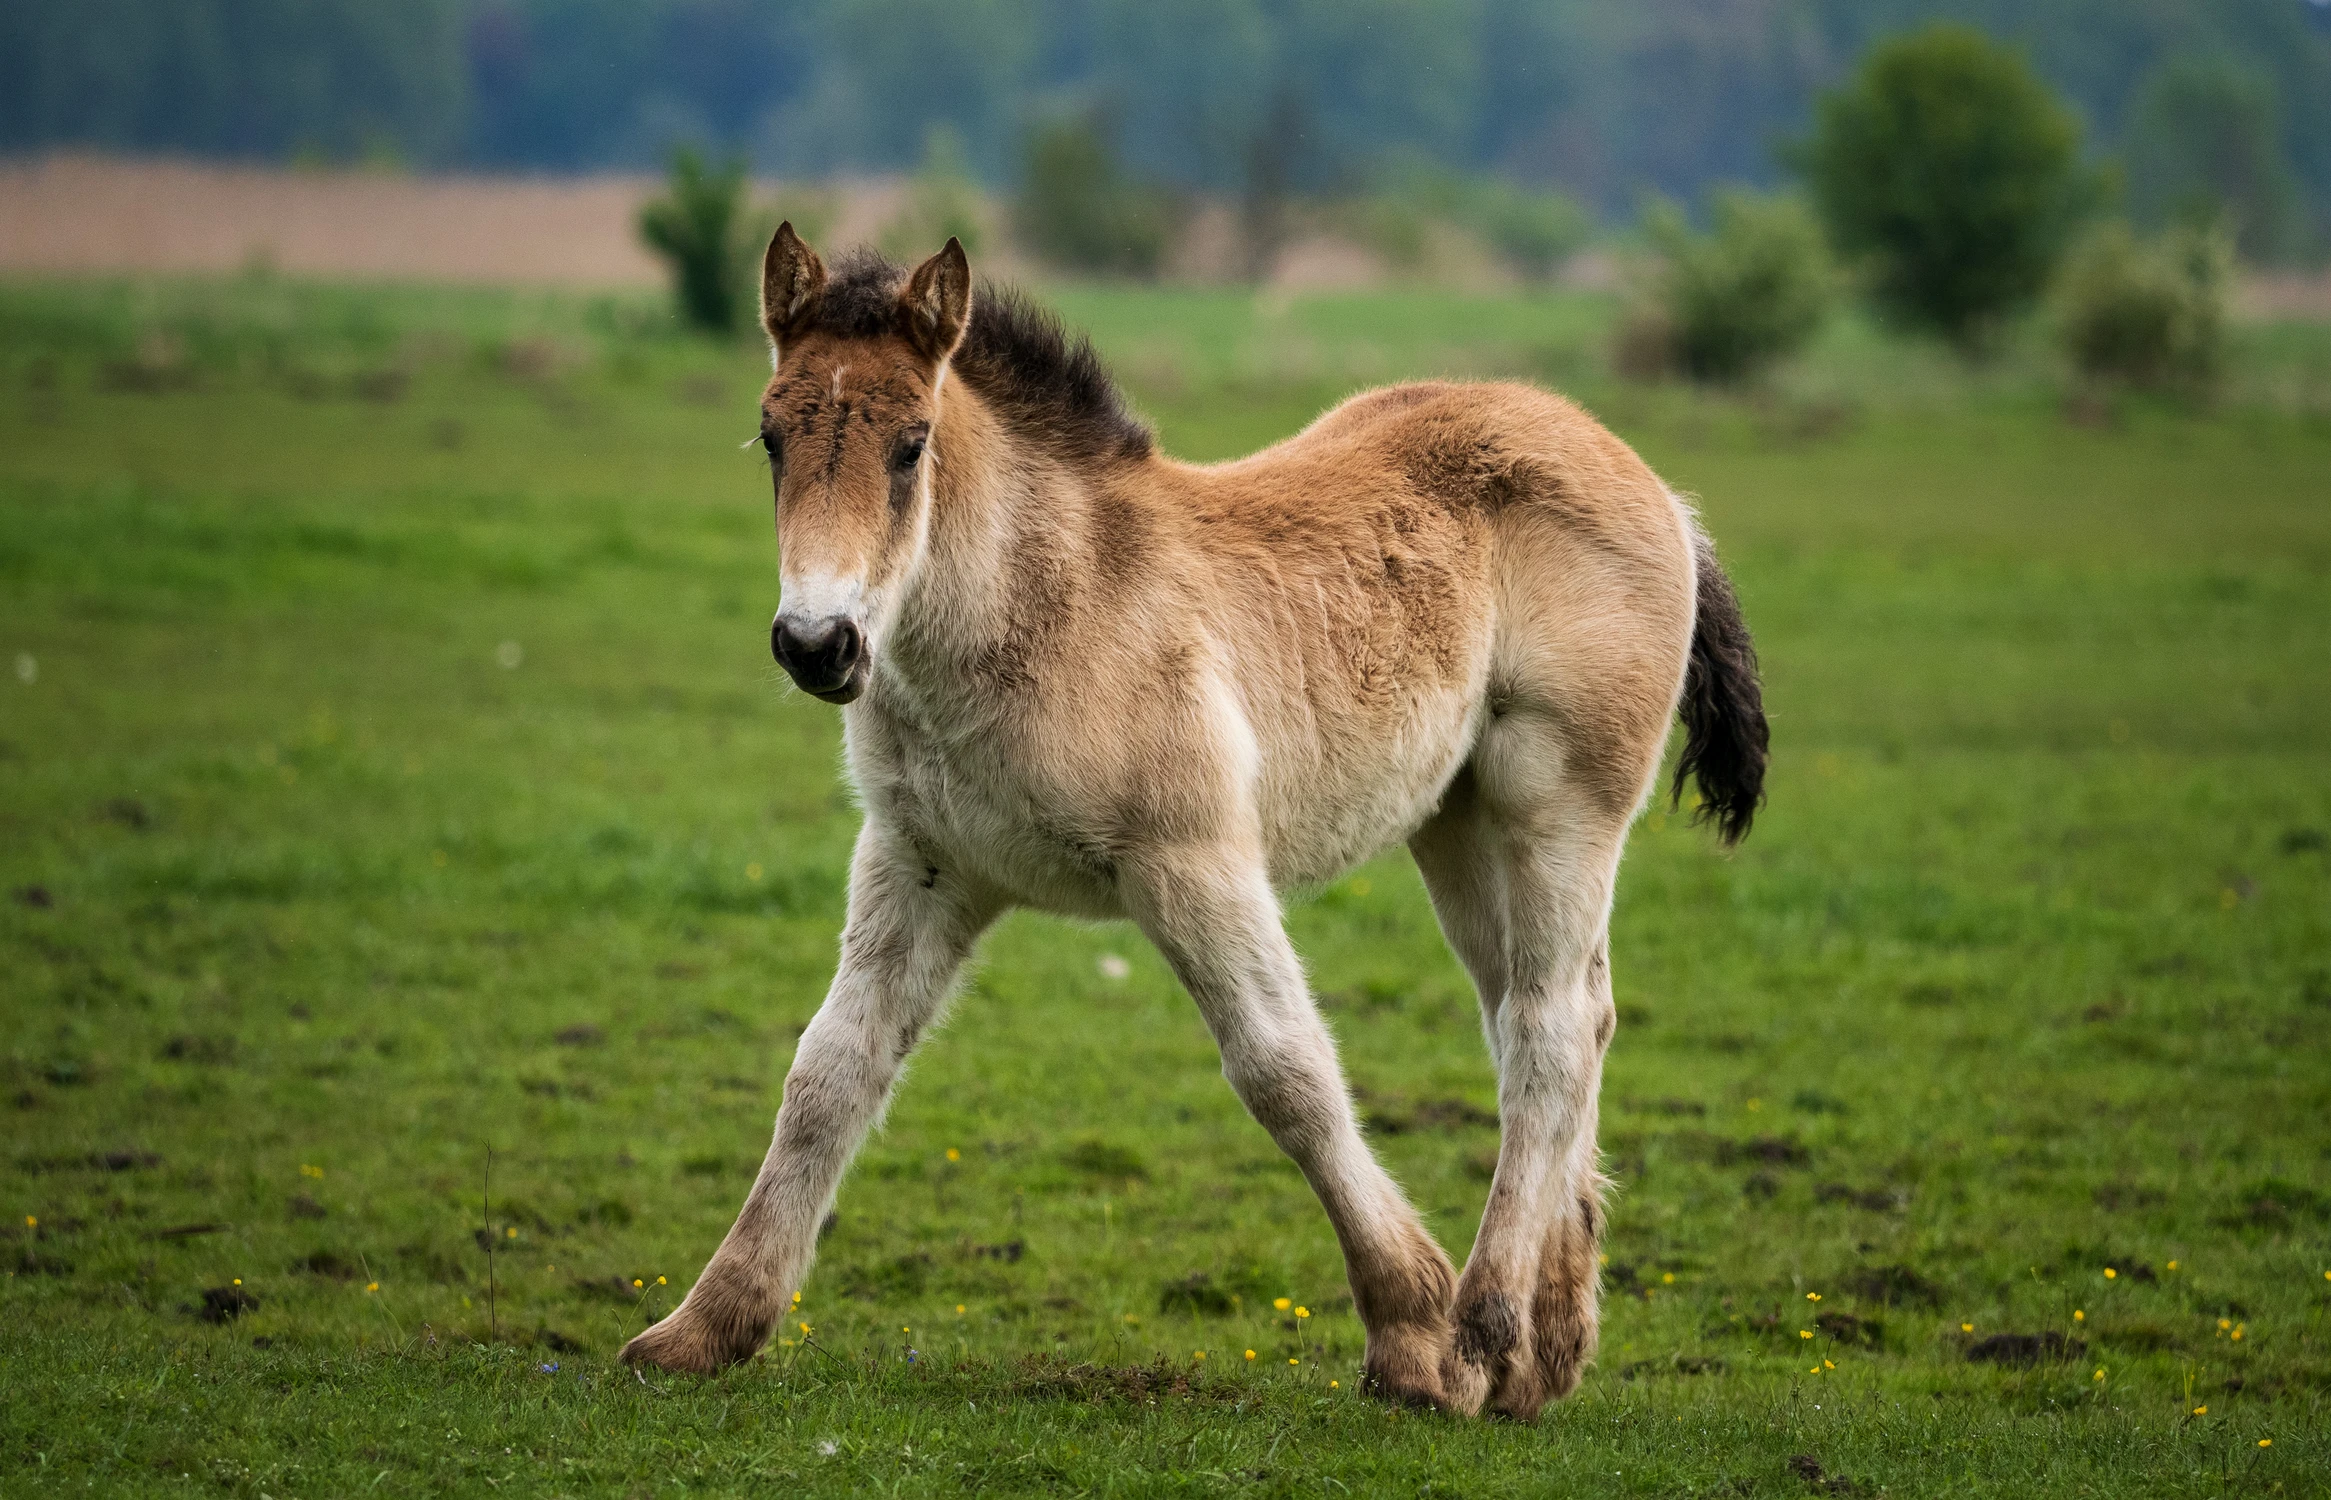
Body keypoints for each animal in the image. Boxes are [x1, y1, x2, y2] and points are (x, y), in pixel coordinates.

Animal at [620, 225, 1762, 1416]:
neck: (1044, 610)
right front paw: (702, 1329)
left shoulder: (1193, 860)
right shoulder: (921, 863)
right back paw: (1546, 1354)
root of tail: (1656, 487)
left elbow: (1285, 1071)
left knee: (1548, 1029)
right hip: (1457, 823)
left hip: (1559, 807)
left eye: (911, 445)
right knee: (1557, 1013)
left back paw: (1487, 1327)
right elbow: (830, 1073)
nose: (817, 644)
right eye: (770, 436)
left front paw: (1412, 1335)